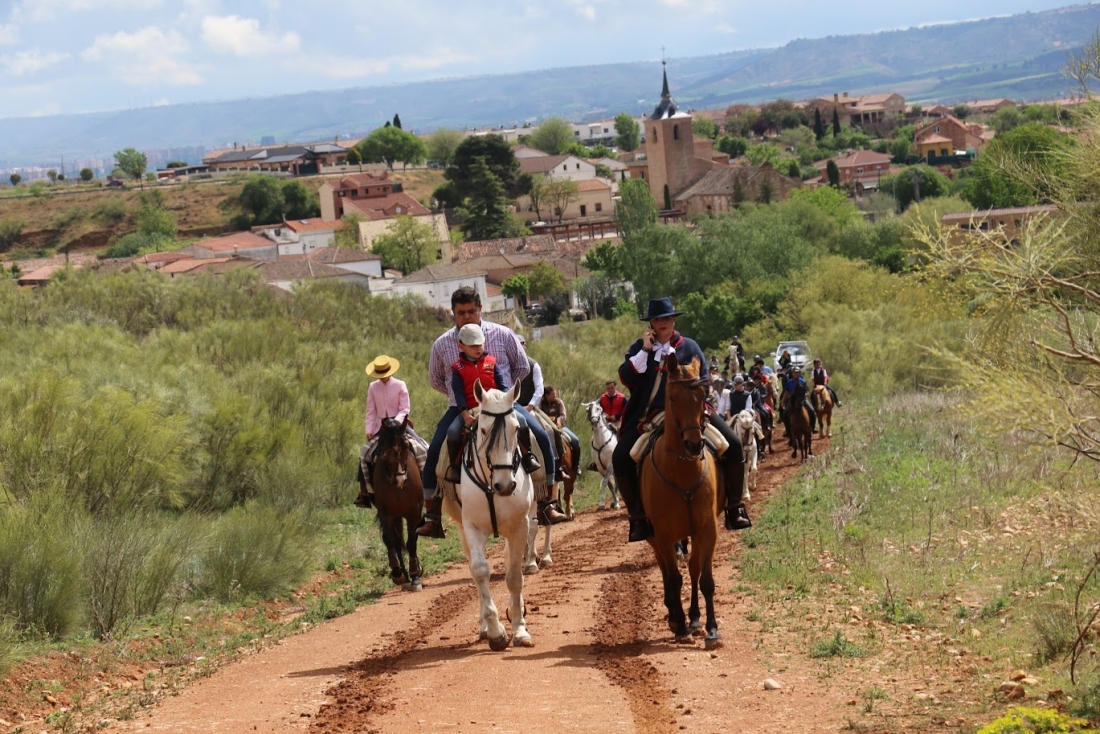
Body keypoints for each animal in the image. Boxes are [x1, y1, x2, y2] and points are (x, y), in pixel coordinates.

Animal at [369, 418, 420, 589]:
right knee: (397, 542)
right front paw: (398, 574)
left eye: (406, 446)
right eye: (386, 450)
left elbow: (412, 541)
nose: (400, 479)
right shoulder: (385, 513)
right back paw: (403, 575)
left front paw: (415, 575)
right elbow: (390, 540)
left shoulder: (415, 511)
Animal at [442, 382, 536, 651]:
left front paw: (519, 629)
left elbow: (514, 576)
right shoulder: (472, 527)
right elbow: (480, 571)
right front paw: (496, 632)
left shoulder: (519, 526)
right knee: (475, 572)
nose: (505, 485)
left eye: (517, 429)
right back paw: (485, 627)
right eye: (483, 430)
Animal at [642, 354, 726, 647]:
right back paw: (675, 617)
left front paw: (711, 629)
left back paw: (693, 618)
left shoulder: (707, 529)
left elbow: (705, 578)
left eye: (702, 396)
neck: (681, 471)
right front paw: (679, 625)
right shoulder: (664, 535)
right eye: (673, 397)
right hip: (654, 537)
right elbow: (674, 578)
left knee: (692, 570)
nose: (693, 445)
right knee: (668, 574)